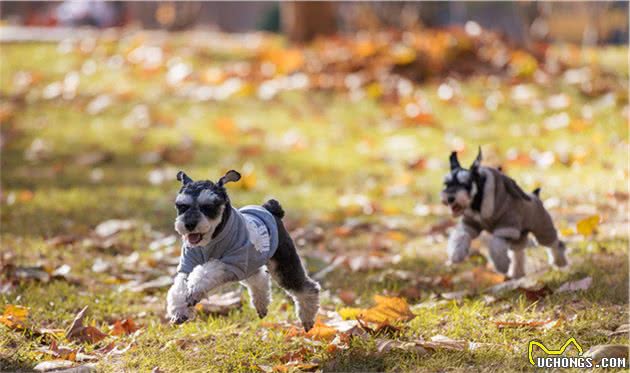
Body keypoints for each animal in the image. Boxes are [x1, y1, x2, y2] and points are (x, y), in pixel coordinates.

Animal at [168, 169, 320, 328]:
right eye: (182, 206)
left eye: (208, 207)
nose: (189, 224)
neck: (209, 241)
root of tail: (270, 209)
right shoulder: (187, 264)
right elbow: (179, 286)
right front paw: (179, 311)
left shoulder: (231, 262)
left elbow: (206, 271)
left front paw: (194, 290)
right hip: (250, 264)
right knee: (259, 278)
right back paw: (261, 305)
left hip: (282, 263)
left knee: (306, 287)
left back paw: (307, 319)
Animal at [442, 147, 572, 278]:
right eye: (447, 184)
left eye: (465, 184)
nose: (450, 198)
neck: (477, 205)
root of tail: (535, 196)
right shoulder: (470, 225)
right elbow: (460, 236)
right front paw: (456, 254)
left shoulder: (506, 227)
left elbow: (495, 246)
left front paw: (501, 266)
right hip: (520, 234)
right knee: (518, 252)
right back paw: (517, 273)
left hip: (542, 229)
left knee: (555, 244)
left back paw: (560, 262)